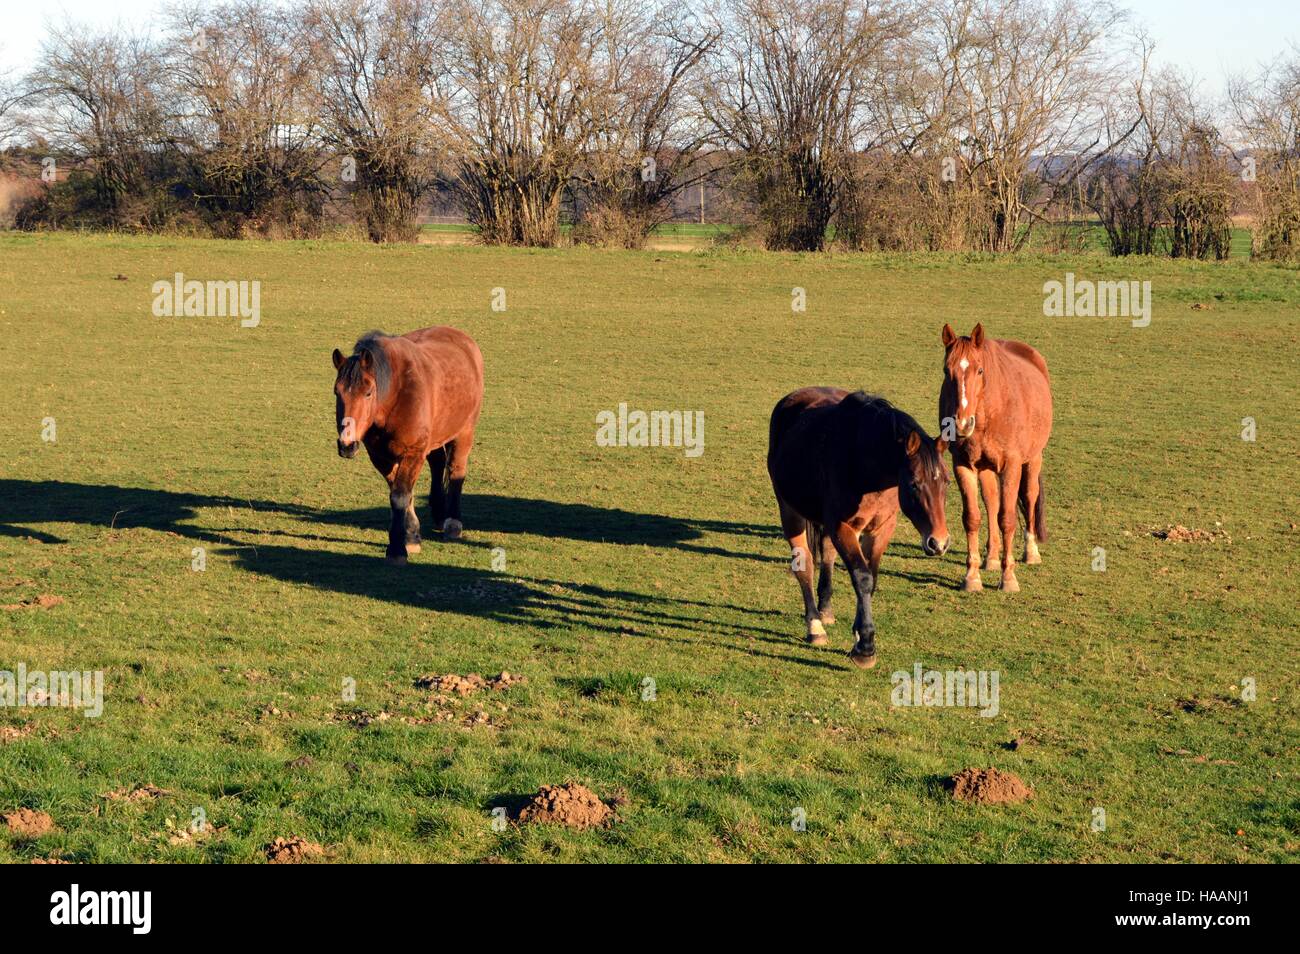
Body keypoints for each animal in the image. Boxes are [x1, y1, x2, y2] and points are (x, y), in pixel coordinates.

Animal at [332, 330, 486, 566]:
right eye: (337, 392)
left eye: (368, 393)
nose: (346, 445)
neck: (395, 395)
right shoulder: (380, 456)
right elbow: (404, 493)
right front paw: (411, 536)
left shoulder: (412, 453)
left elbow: (400, 496)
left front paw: (397, 549)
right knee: (438, 464)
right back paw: (439, 513)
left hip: (464, 432)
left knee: (455, 471)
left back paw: (453, 523)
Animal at [764, 389, 951, 670]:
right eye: (914, 484)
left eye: (947, 482)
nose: (938, 542)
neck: (865, 463)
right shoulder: (843, 527)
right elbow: (862, 578)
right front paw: (865, 648)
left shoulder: (881, 529)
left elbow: (870, 579)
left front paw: (859, 633)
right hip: (789, 510)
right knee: (804, 565)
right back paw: (815, 626)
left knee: (827, 556)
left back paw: (826, 610)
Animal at [941, 324, 1050, 595]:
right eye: (947, 371)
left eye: (979, 370)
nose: (961, 424)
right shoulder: (963, 465)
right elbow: (972, 518)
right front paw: (971, 576)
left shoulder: (1011, 466)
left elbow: (1007, 519)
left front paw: (1008, 577)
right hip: (986, 468)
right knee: (991, 502)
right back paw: (990, 557)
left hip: (1033, 459)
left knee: (1029, 497)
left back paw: (1031, 551)